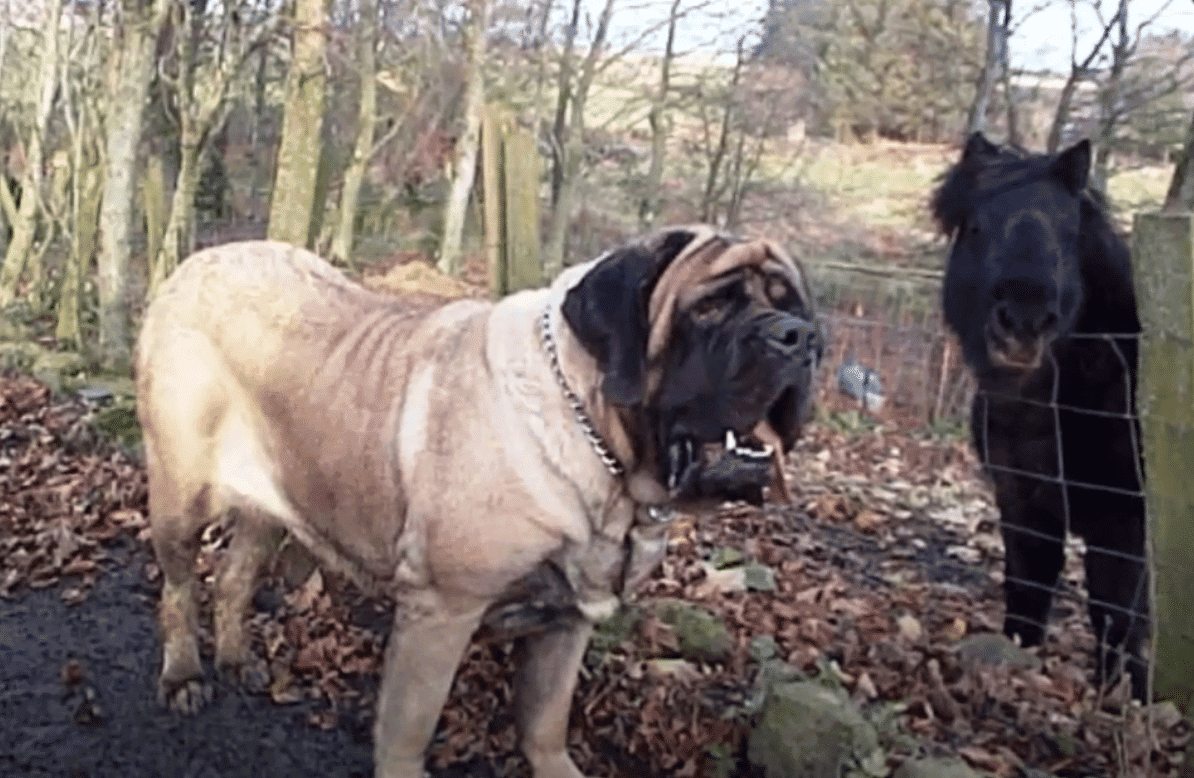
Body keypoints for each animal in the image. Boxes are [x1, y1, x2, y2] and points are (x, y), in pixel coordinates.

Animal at [133, 224, 821, 778]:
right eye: (710, 307)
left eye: (794, 304)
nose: (801, 337)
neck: (600, 448)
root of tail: (193, 265)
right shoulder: (443, 611)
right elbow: (409, 729)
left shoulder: (568, 622)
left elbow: (545, 725)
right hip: (181, 495)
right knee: (178, 588)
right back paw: (185, 675)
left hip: (274, 499)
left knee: (235, 574)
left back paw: (236, 659)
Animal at [931, 133, 1146, 696]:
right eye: (976, 227)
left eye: (1068, 234)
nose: (1023, 324)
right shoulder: (1024, 505)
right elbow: (1027, 592)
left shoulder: (1126, 525)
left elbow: (1118, 616)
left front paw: (1126, 699)